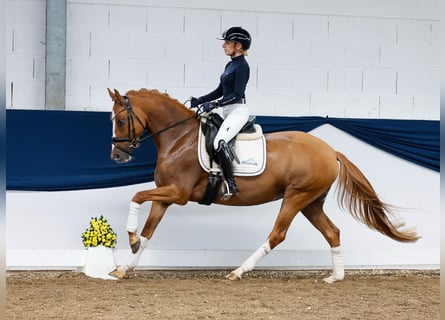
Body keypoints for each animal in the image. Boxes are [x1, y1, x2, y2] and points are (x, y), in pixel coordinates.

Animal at [106, 87, 418, 282]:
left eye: (120, 121)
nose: (117, 156)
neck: (179, 138)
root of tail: (331, 151)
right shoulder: (166, 196)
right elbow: (149, 232)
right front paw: (125, 265)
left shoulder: (178, 193)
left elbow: (137, 196)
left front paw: (130, 239)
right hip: (311, 203)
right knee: (332, 232)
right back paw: (335, 277)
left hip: (295, 197)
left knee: (277, 234)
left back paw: (238, 271)